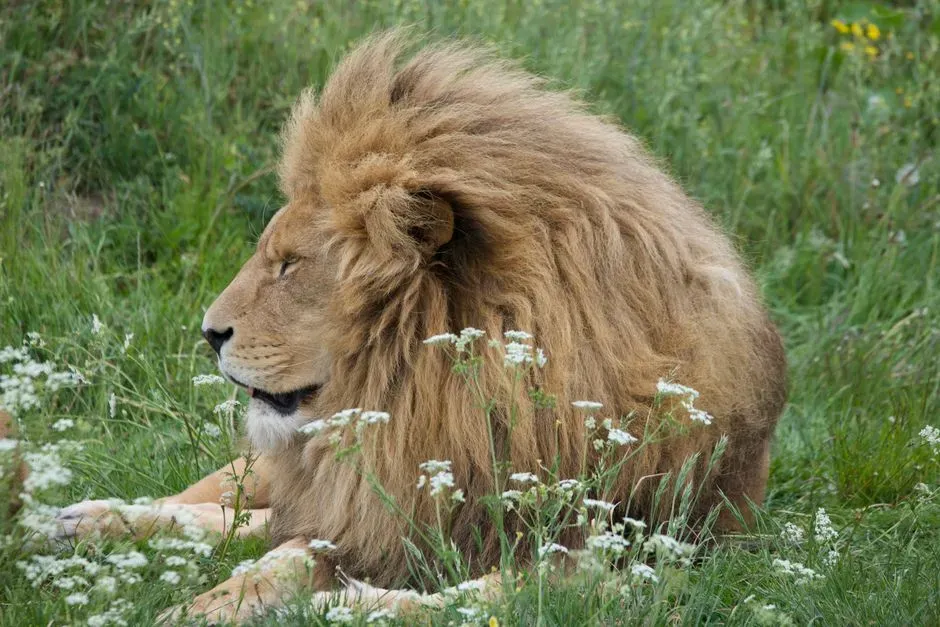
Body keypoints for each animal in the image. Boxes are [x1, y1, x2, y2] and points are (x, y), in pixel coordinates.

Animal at [55, 32, 787, 623]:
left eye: (290, 266)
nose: (209, 333)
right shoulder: (373, 504)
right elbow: (278, 554)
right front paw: (199, 605)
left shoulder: (640, 558)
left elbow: (483, 597)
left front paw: (345, 604)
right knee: (224, 502)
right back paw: (78, 521)